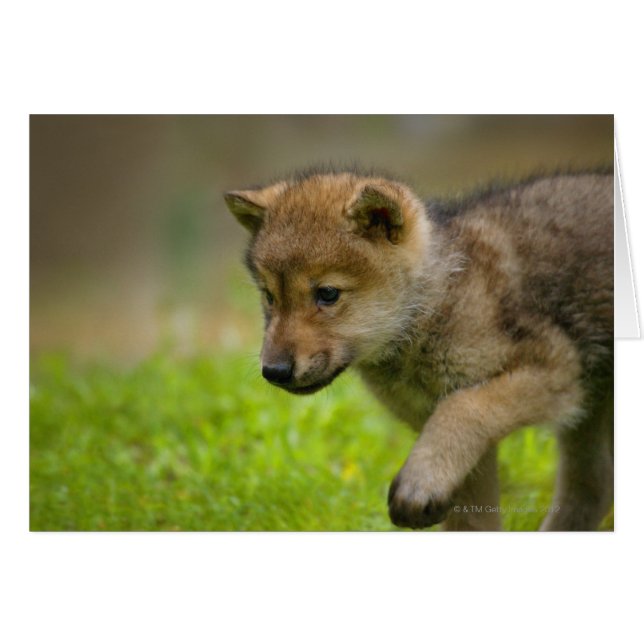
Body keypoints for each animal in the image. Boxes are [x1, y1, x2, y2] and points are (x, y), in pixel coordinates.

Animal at [224, 167, 614, 531]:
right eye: (269, 297)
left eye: (328, 294)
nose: (273, 371)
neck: (436, 304)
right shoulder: (462, 442)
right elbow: (471, 520)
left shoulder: (556, 370)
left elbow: (463, 408)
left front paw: (419, 482)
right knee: (593, 486)